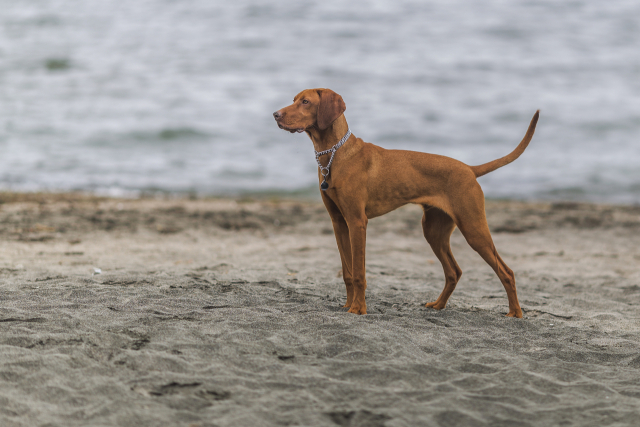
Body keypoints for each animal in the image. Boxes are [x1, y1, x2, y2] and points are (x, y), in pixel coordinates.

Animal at [272, 89, 536, 318]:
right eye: (294, 99)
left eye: (305, 102)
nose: (275, 114)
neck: (335, 155)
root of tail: (470, 169)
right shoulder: (338, 222)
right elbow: (347, 272)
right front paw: (348, 305)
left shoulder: (357, 222)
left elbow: (359, 273)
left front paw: (358, 309)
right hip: (434, 230)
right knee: (454, 271)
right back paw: (438, 305)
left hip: (474, 228)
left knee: (506, 272)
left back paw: (515, 313)